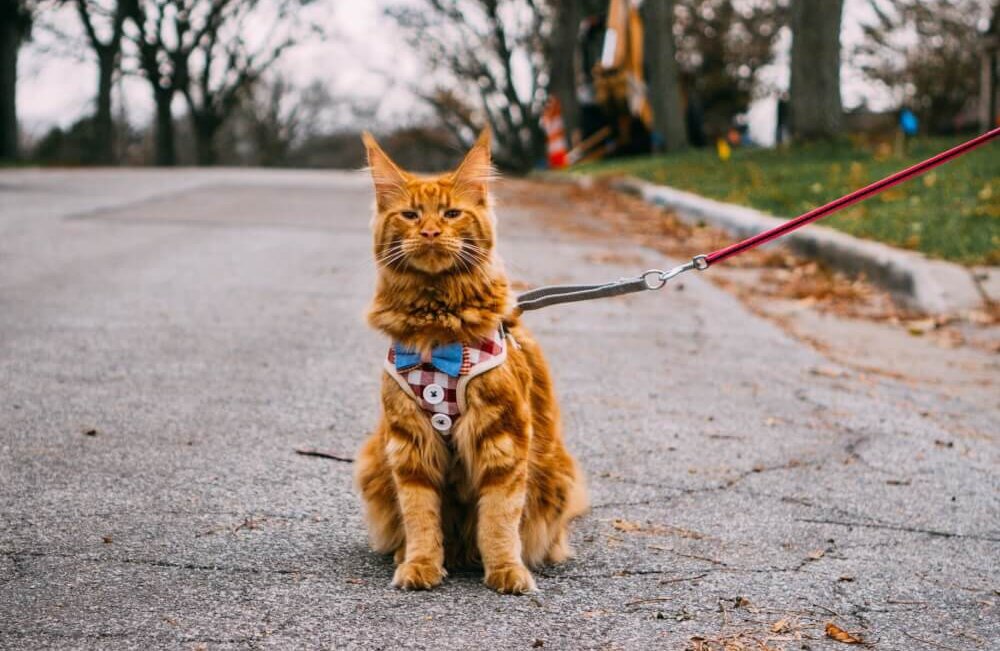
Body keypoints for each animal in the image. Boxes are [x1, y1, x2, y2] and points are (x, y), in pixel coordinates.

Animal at [354, 130, 584, 592]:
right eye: (410, 215)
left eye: (452, 213)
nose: (429, 231)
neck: (436, 326)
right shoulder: (409, 443)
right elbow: (420, 516)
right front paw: (421, 565)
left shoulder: (503, 437)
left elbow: (499, 519)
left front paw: (506, 571)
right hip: (375, 460)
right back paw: (410, 554)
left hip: (557, 475)